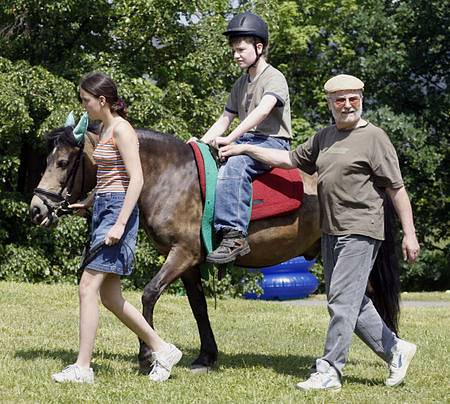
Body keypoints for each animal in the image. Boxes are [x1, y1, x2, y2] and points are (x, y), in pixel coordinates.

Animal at [29, 127, 400, 376]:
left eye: (63, 162)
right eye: (47, 160)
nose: (37, 208)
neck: (170, 177)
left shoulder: (182, 254)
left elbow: (149, 295)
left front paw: (147, 357)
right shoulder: (188, 262)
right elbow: (199, 307)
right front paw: (205, 356)